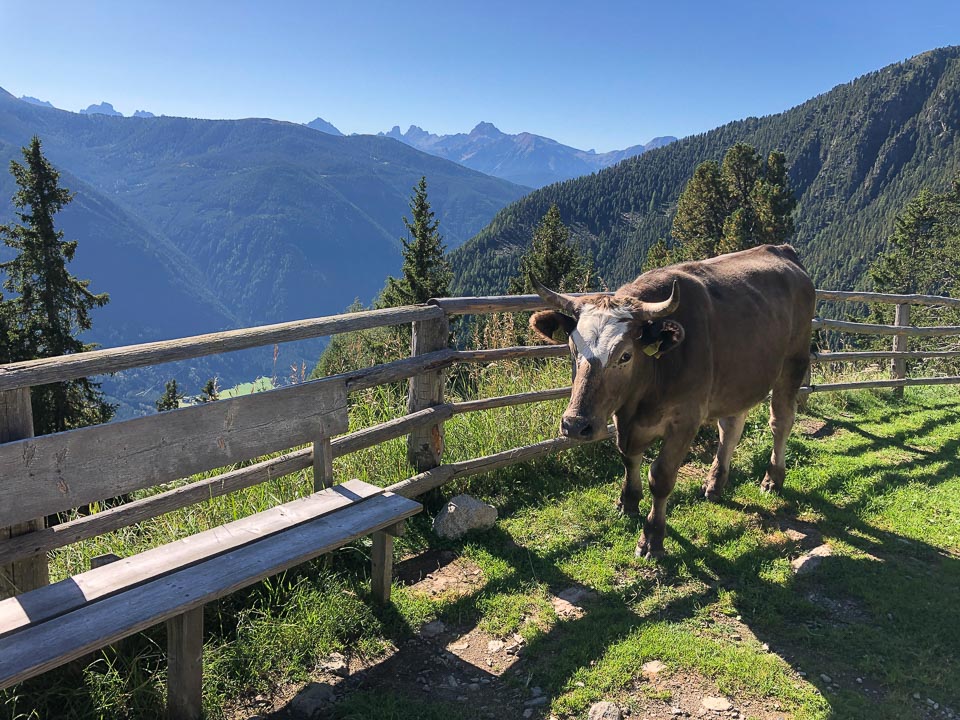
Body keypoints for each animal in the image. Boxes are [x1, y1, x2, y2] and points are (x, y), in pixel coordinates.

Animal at [528, 245, 812, 560]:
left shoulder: (685, 419)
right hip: (739, 380)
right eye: (573, 348)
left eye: (625, 355)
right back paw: (715, 484)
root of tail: (782, 251)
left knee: (781, 422)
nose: (575, 425)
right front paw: (628, 502)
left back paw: (772, 479)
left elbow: (661, 477)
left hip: (793, 363)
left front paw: (652, 537)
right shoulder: (623, 417)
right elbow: (628, 458)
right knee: (731, 428)